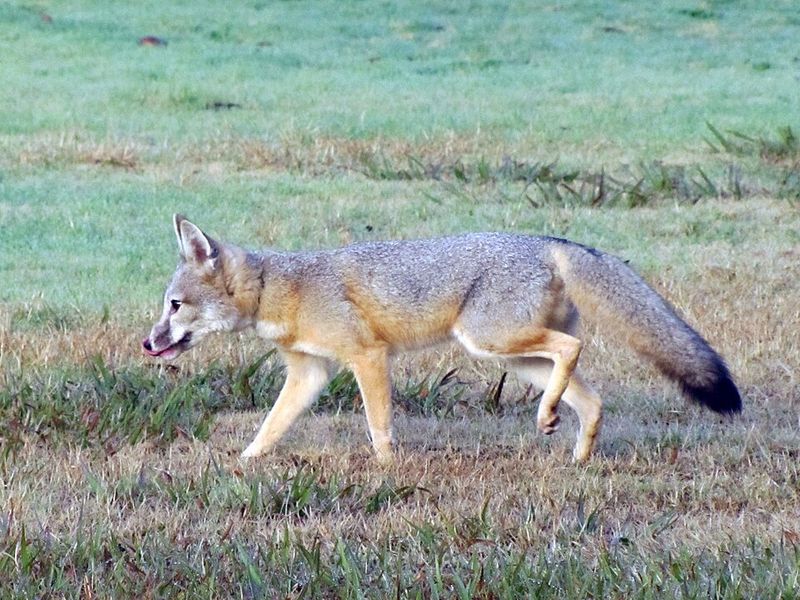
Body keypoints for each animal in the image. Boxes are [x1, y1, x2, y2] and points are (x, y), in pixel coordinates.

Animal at [143, 215, 741, 463]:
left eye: (174, 306)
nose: (149, 345)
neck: (279, 287)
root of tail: (547, 239)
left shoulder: (368, 357)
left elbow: (378, 425)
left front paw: (388, 471)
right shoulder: (310, 372)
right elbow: (269, 428)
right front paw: (243, 463)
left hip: (490, 341)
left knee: (573, 349)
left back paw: (551, 419)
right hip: (513, 357)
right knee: (589, 398)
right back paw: (573, 450)